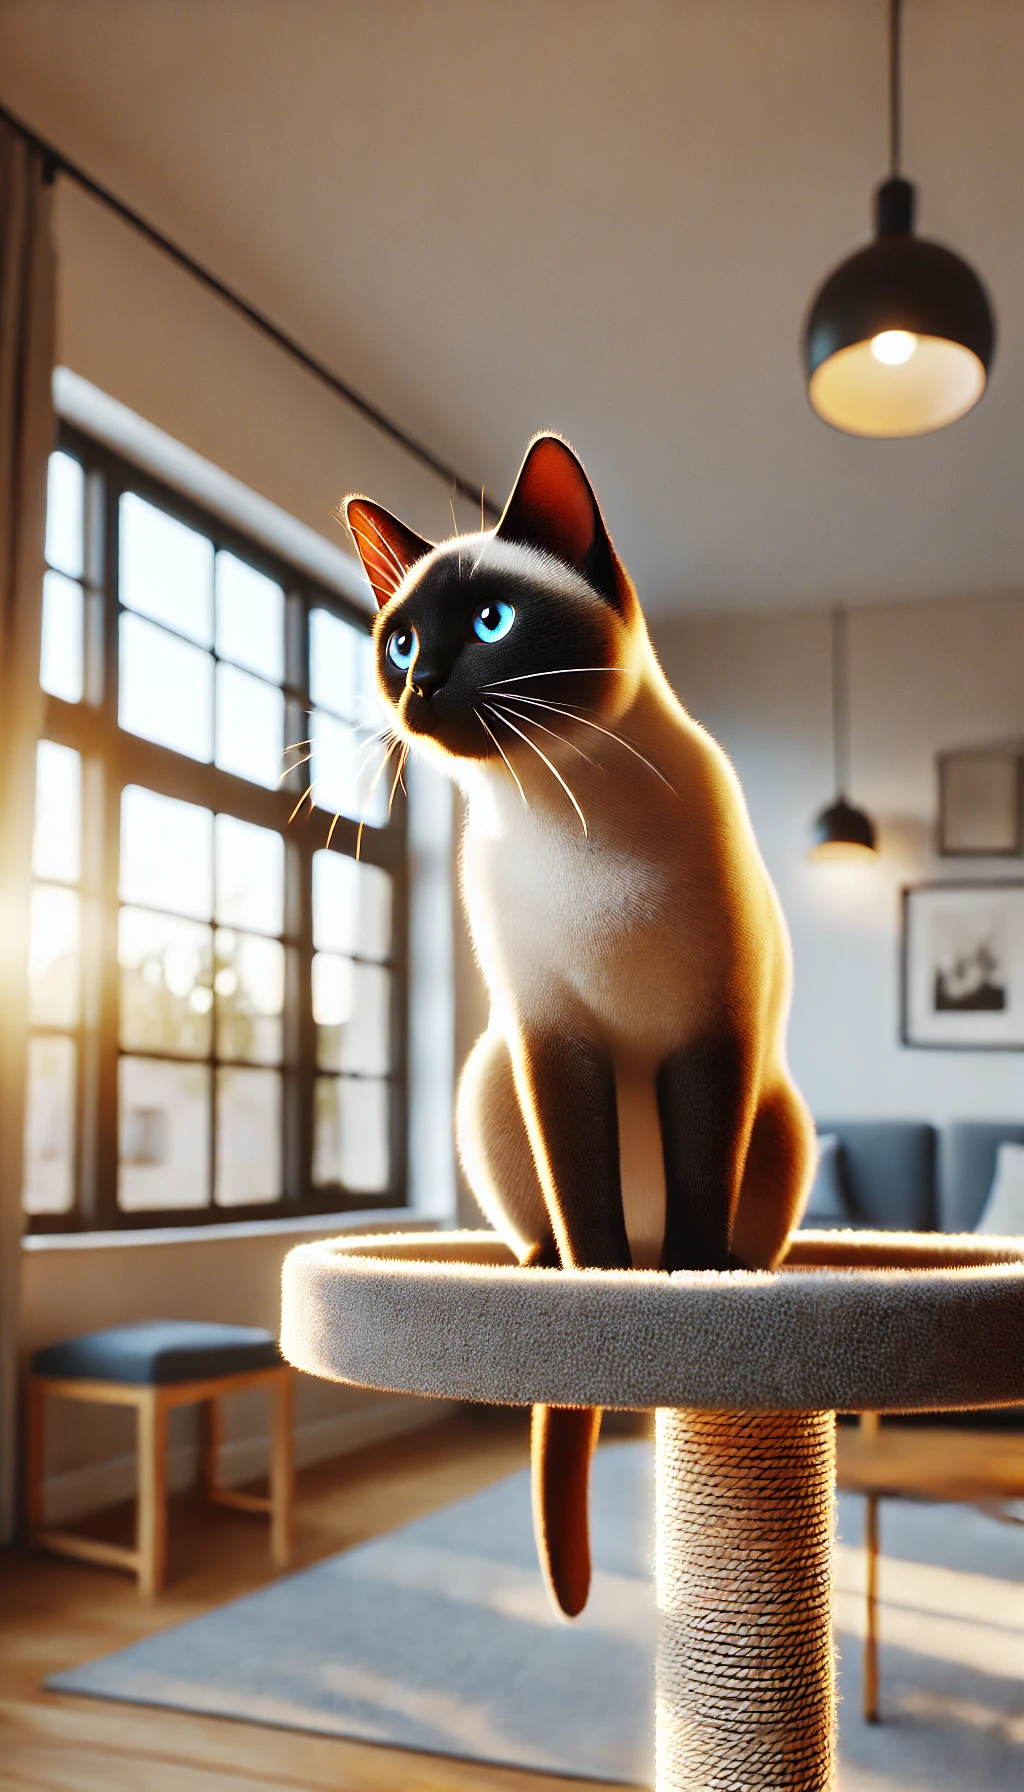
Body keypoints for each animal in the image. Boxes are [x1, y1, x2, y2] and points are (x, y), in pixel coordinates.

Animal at [344, 437, 817, 1627]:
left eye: (493, 623)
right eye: (402, 640)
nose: (419, 683)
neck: (568, 809)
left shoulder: (707, 1037)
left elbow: (699, 1173)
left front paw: (687, 1286)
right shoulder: (554, 1037)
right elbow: (581, 1178)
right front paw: (597, 1290)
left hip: (776, 1110)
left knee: (738, 1214)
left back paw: (718, 1270)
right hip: (485, 1078)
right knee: (549, 1216)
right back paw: (551, 1264)